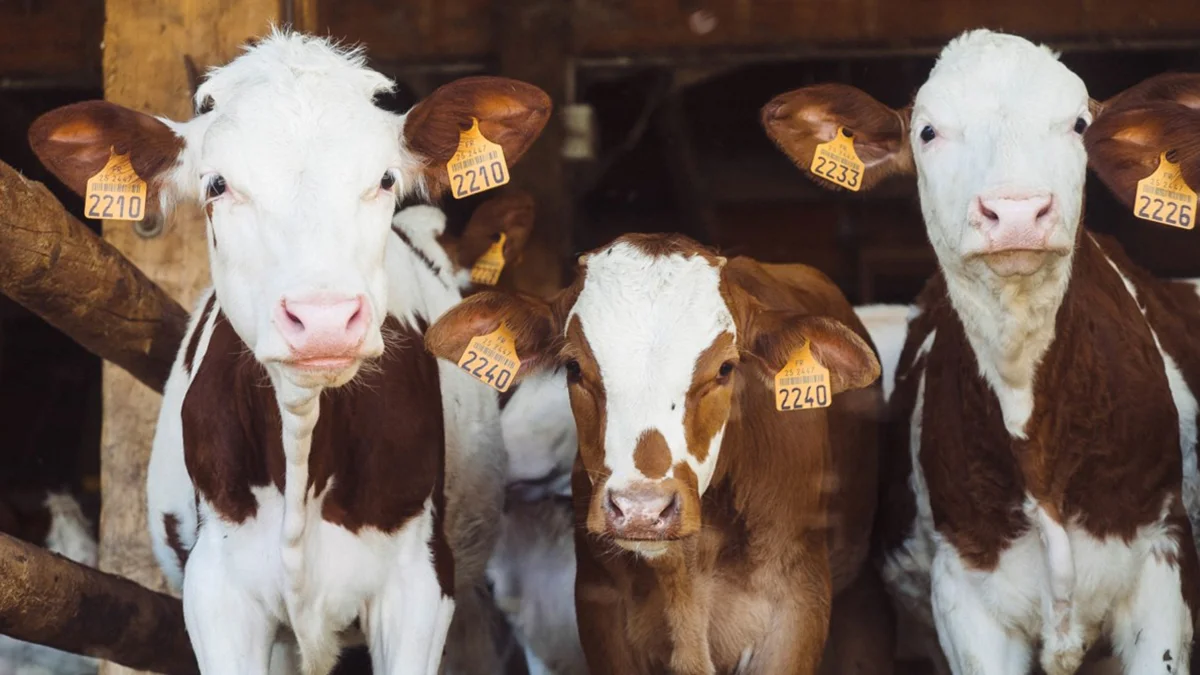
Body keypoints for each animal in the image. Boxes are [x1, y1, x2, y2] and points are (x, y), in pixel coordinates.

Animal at [424, 233, 892, 672]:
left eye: (725, 368)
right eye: (573, 367)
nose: (641, 510)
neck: (686, 572)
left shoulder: (796, 612)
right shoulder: (599, 613)